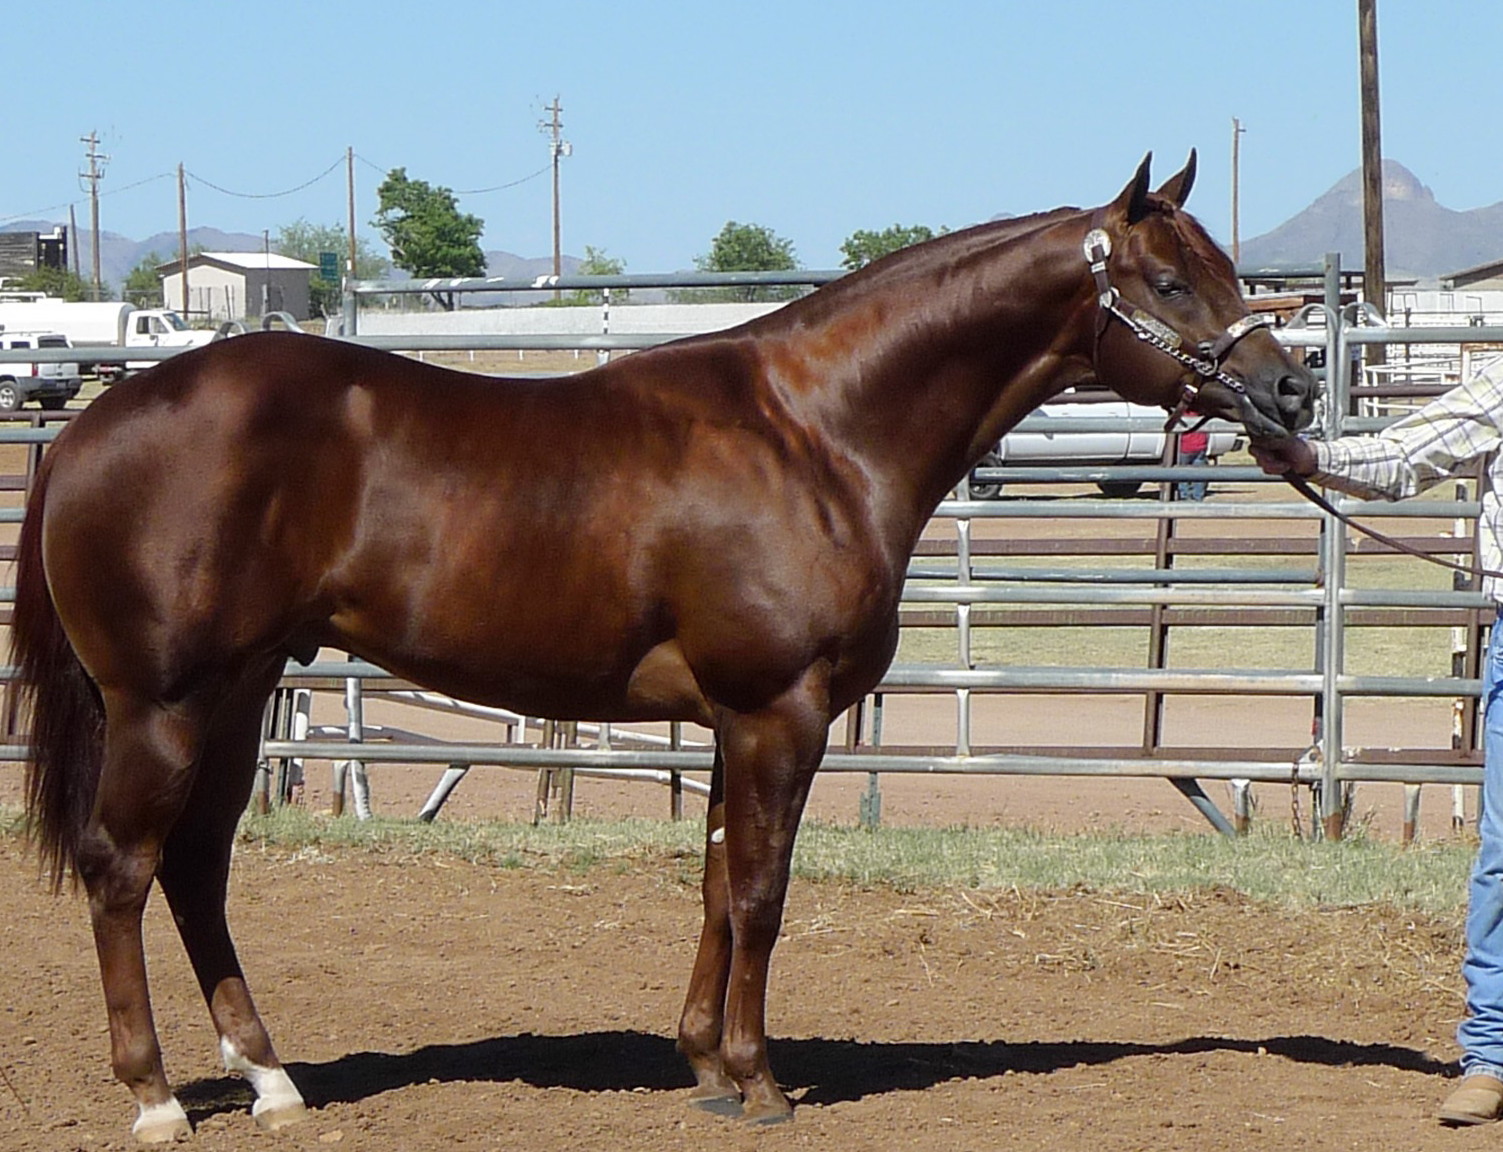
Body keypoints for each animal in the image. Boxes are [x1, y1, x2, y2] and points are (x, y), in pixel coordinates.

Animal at [10, 152, 1313, 1142]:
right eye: (1167, 279)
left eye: (1225, 271)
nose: (1292, 390)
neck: (816, 431)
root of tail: (89, 426)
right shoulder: (781, 709)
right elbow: (763, 893)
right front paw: (761, 1081)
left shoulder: (738, 720)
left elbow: (716, 882)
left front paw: (701, 1065)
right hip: (164, 703)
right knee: (122, 868)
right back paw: (157, 1096)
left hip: (236, 697)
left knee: (196, 869)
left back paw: (272, 1078)